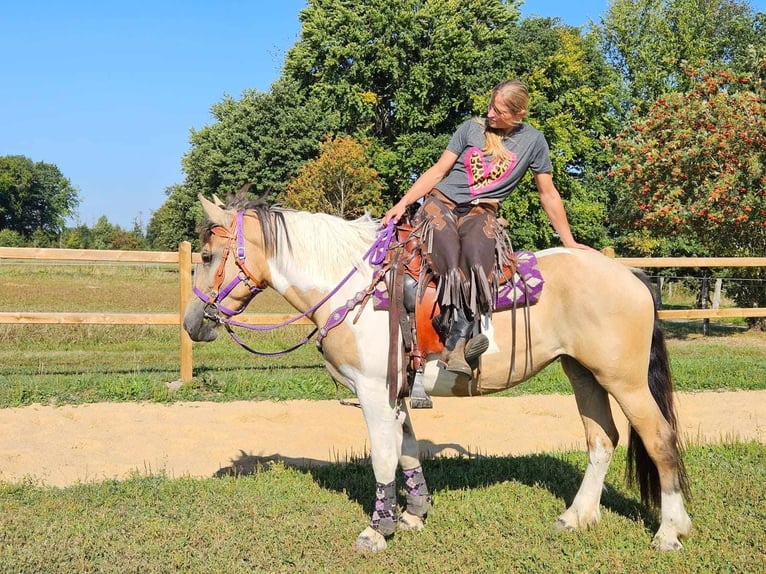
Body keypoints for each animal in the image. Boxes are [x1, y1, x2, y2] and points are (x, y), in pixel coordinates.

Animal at [183, 196, 692, 556]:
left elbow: (383, 457)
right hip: (583, 373)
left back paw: (670, 531)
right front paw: (413, 514)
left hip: (625, 381)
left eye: (207, 256)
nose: (192, 323)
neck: (354, 288)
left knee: (659, 439)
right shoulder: (398, 393)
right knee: (602, 439)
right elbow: (407, 450)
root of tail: (631, 276)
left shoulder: (373, 392)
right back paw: (578, 516)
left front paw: (378, 529)